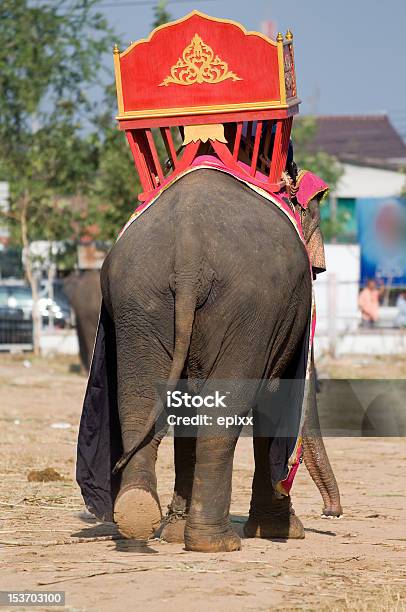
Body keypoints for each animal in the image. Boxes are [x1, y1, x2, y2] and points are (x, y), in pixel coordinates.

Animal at [96, 165, 340, 552]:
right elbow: (274, 398)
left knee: (139, 400)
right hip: (248, 308)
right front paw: (284, 531)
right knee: (221, 414)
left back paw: (137, 514)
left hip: (137, 301)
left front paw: (173, 532)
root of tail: (189, 253)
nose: (331, 513)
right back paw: (216, 542)